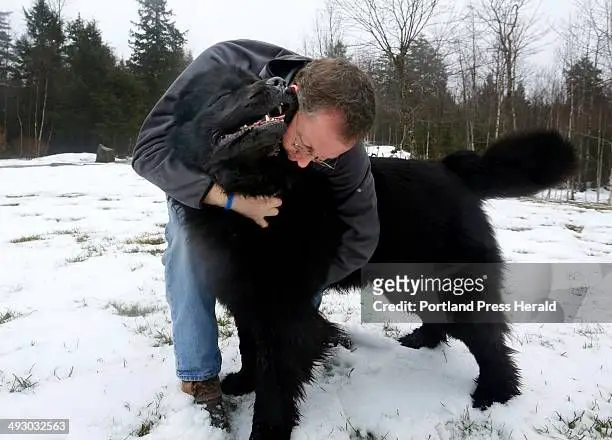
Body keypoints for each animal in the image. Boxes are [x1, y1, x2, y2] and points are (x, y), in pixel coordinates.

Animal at [165, 63, 576, 438]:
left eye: (255, 80)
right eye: (223, 94)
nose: (279, 83)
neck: (262, 189)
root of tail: (452, 169)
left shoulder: (283, 311)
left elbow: (275, 381)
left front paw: (267, 431)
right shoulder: (246, 298)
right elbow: (250, 347)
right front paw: (243, 382)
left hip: (454, 285)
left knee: (489, 341)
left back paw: (496, 393)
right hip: (413, 282)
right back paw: (423, 342)